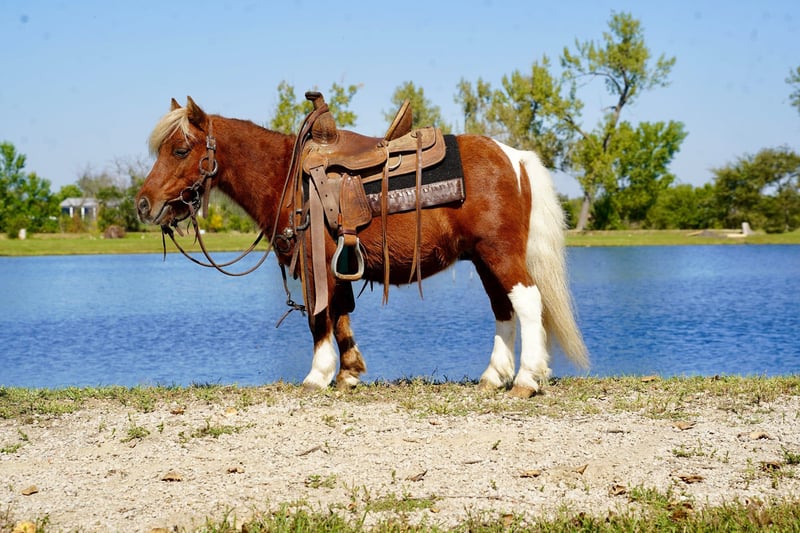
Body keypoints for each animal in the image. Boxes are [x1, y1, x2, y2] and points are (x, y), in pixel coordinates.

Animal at [135, 96, 588, 398]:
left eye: (180, 149)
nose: (143, 204)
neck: (287, 176)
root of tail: (514, 157)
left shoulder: (314, 262)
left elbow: (320, 316)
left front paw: (318, 375)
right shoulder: (335, 264)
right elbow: (341, 314)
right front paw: (348, 372)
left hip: (499, 253)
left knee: (527, 302)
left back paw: (527, 379)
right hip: (483, 257)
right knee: (503, 308)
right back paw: (495, 375)